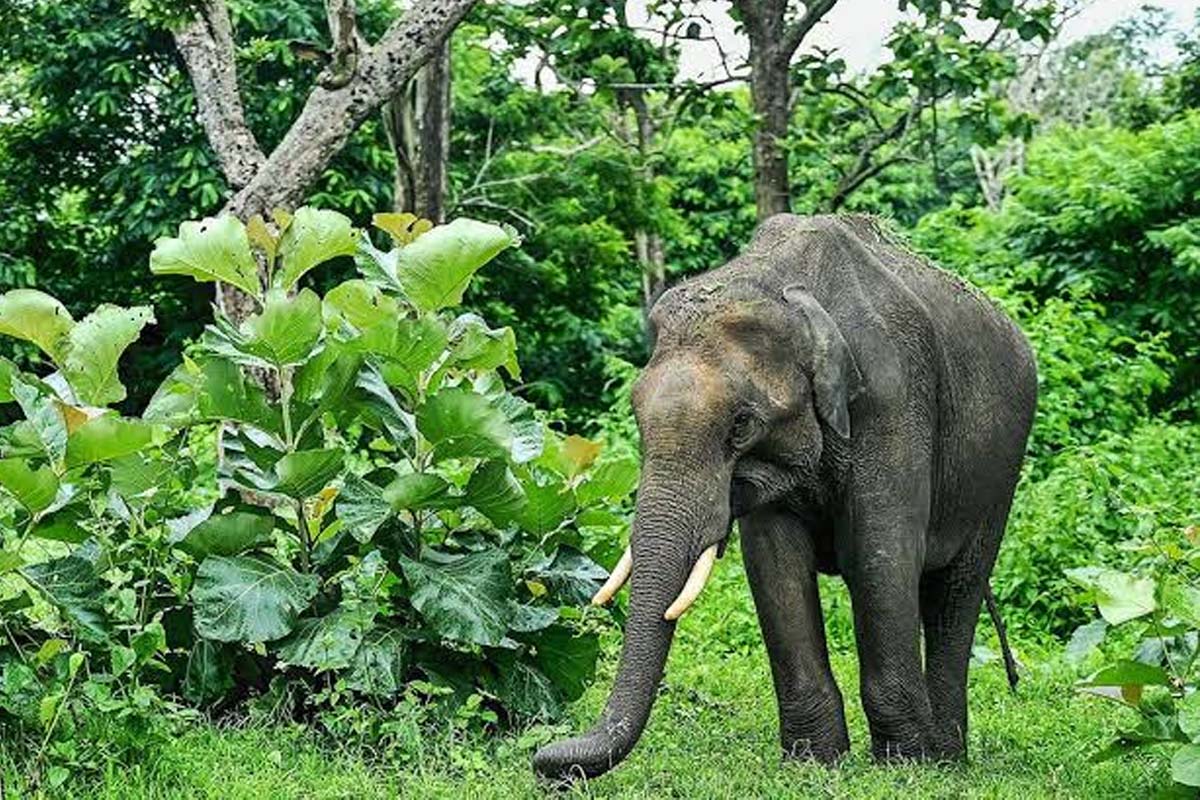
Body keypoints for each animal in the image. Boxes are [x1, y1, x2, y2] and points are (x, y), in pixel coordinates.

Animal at [532, 214, 1037, 782]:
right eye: (636, 414)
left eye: (741, 426)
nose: (546, 761)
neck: (785, 288)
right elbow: (775, 565)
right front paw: (814, 762)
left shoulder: (895, 399)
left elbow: (879, 556)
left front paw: (906, 766)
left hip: (1000, 473)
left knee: (956, 589)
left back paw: (946, 759)